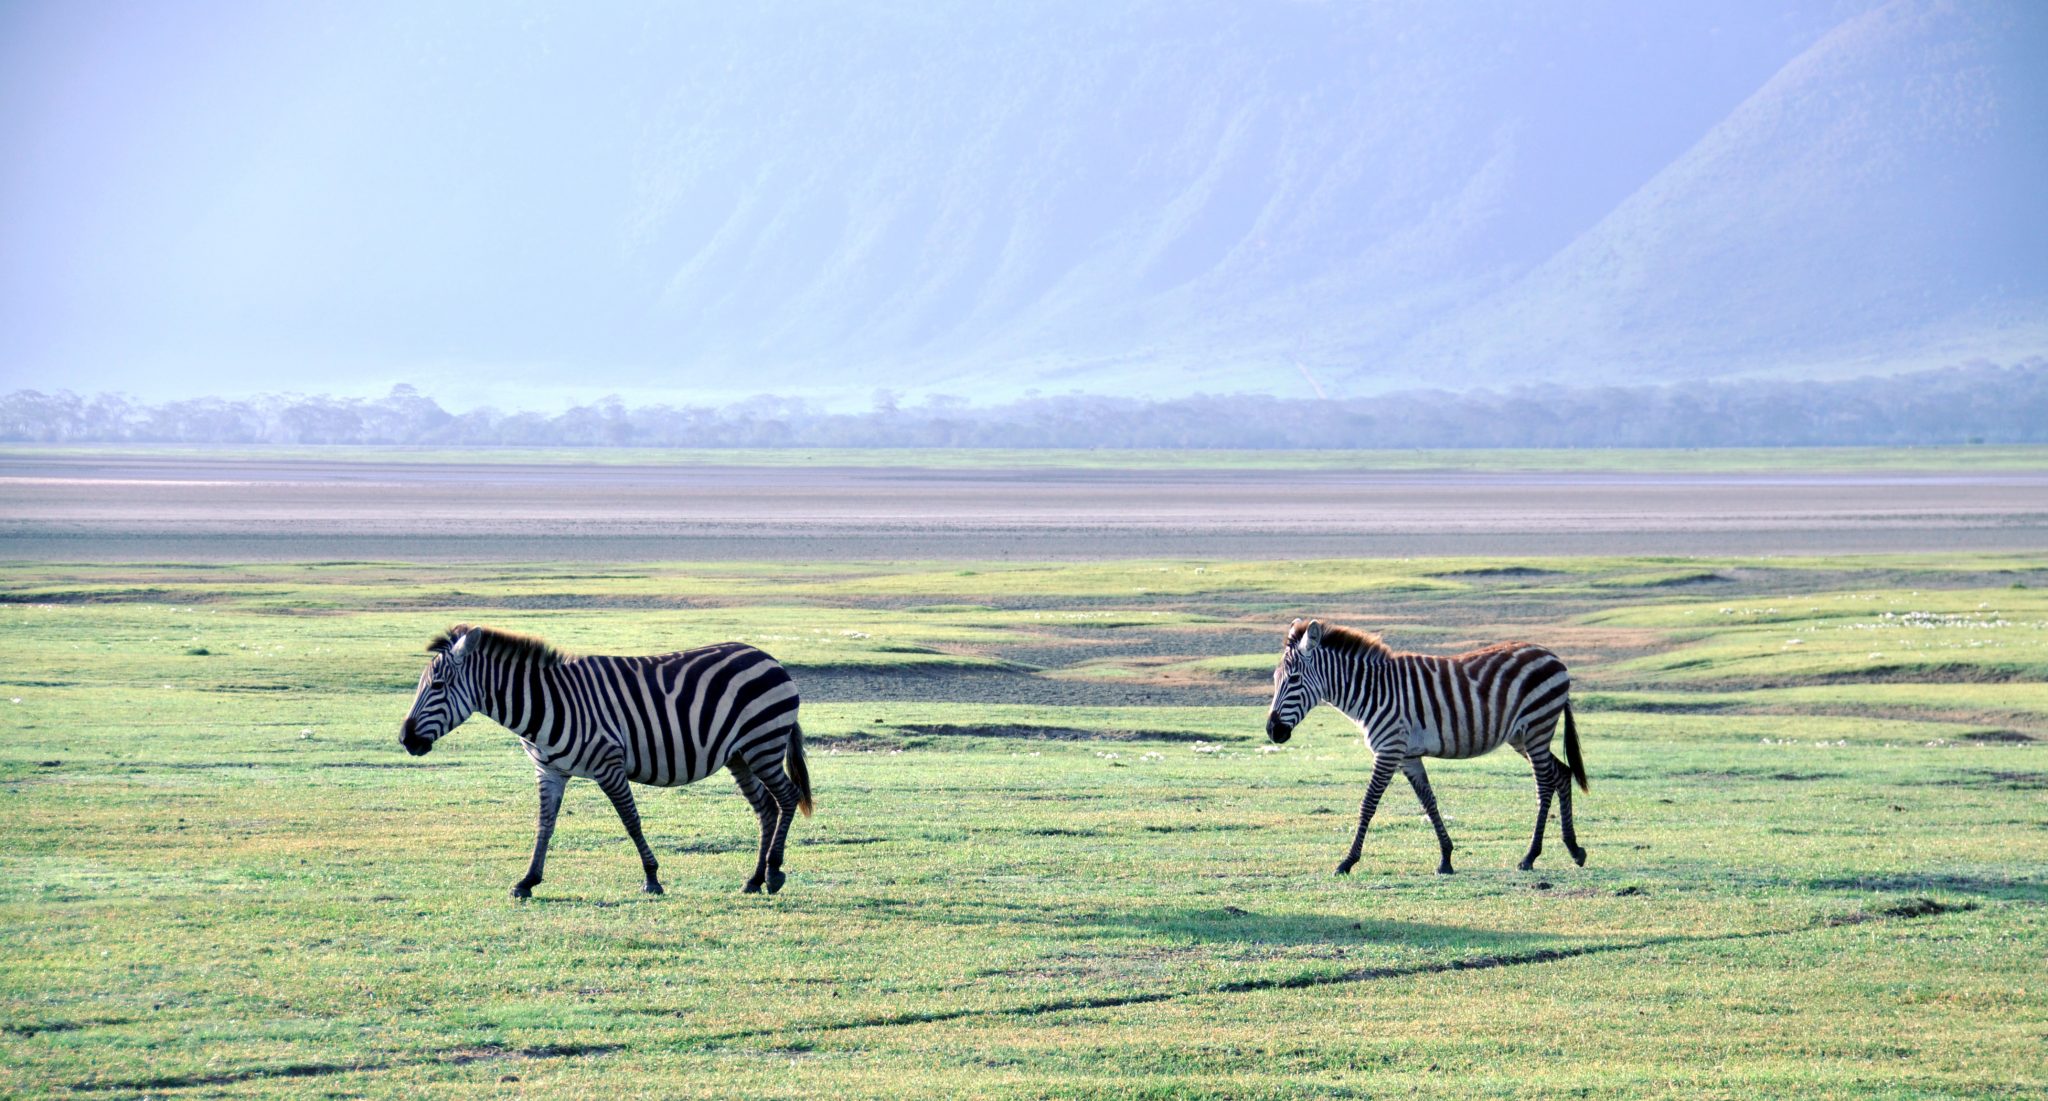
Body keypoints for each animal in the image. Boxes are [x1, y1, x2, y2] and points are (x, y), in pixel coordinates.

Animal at [395, 622, 811, 896]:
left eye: (437, 686)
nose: (405, 739)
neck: (547, 703)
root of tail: (768, 658)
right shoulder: (548, 771)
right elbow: (544, 825)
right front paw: (527, 881)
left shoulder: (609, 765)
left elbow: (631, 821)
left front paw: (652, 878)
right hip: (740, 755)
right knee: (766, 808)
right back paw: (754, 879)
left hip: (763, 743)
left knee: (787, 798)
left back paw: (774, 873)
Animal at [1261, 618, 1581, 875]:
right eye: (1275, 679)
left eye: (1294, 679)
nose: (1273, 731)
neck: (1372, 691)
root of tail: (1551, 655)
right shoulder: (1408, 755)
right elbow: (1428, 801)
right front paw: (1446, 858)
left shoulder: (1389, 749)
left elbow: (1368, 804)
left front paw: (1347, 861)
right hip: (1523, 736)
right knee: (1561, 773)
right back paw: (1574, 849)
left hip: (1537, 726)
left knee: (1544, 784)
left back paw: (1530, 856)